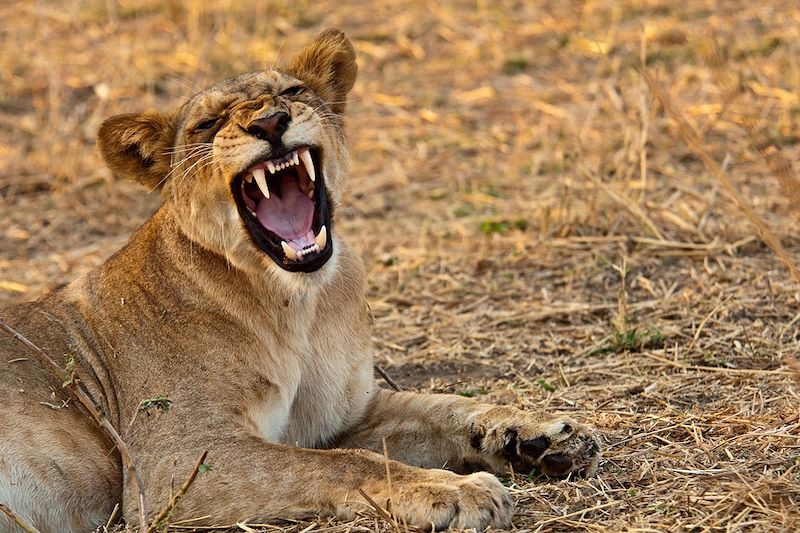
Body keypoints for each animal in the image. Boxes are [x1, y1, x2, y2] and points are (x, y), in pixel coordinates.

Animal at [0, 30, 600, 532]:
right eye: (207, 125)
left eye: (291, 91)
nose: (269, 123)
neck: (297, 306)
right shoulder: (174, 462)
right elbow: (340, 465)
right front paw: (455, 491)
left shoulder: (345, 413)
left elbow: (442, 406)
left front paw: (541, 432)